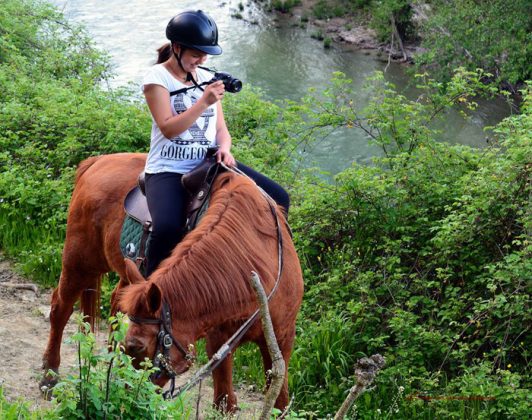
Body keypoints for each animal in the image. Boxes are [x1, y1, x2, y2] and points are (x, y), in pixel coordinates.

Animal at [40, 153, 304, 410]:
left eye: (136, 347)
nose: (127, 400)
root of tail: (97, 162)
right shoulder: (219, 342)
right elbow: (224, 403)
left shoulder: (281, 340)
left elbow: (279, 402)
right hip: (80, 263)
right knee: (60, 308)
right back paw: (49, 377)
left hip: (128, 274)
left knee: (115, 303)